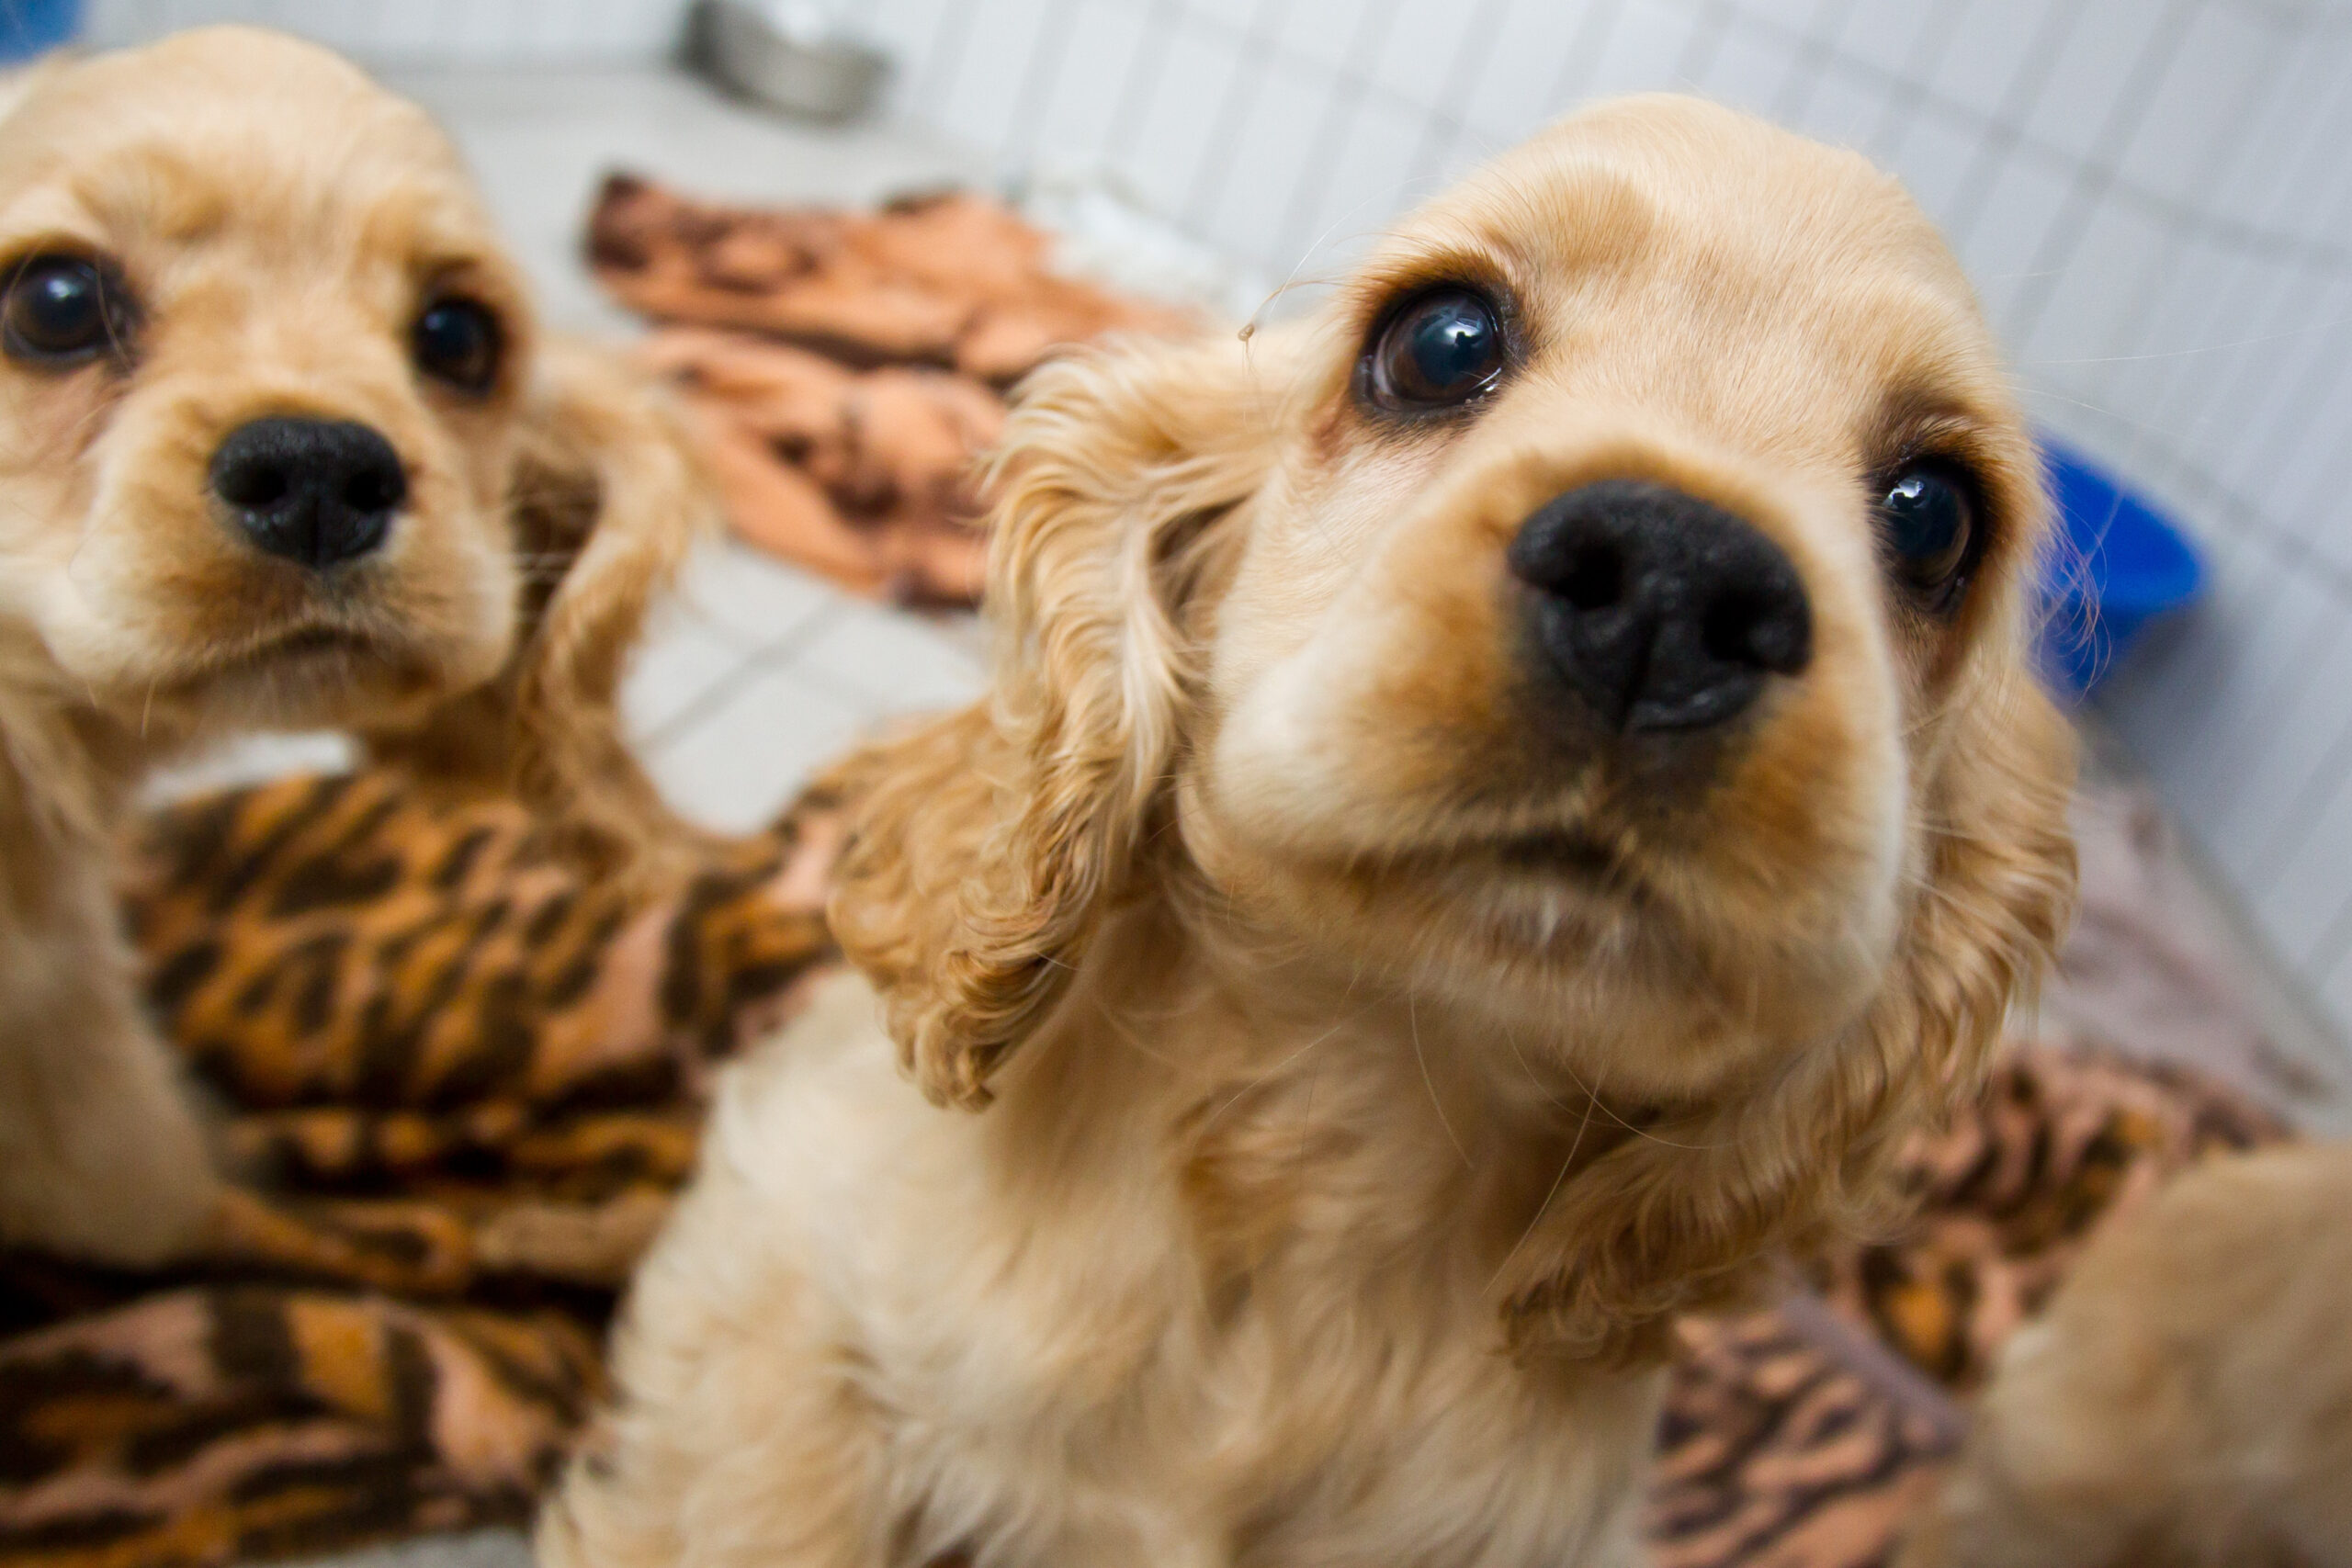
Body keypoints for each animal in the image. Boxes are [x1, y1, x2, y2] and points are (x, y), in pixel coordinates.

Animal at [538, 97, 2079, 1568]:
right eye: (1442, 343)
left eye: (1933, 518)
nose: (1675, 582)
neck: (1340, 1115)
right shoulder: (779, 1262)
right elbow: (767, 1507)